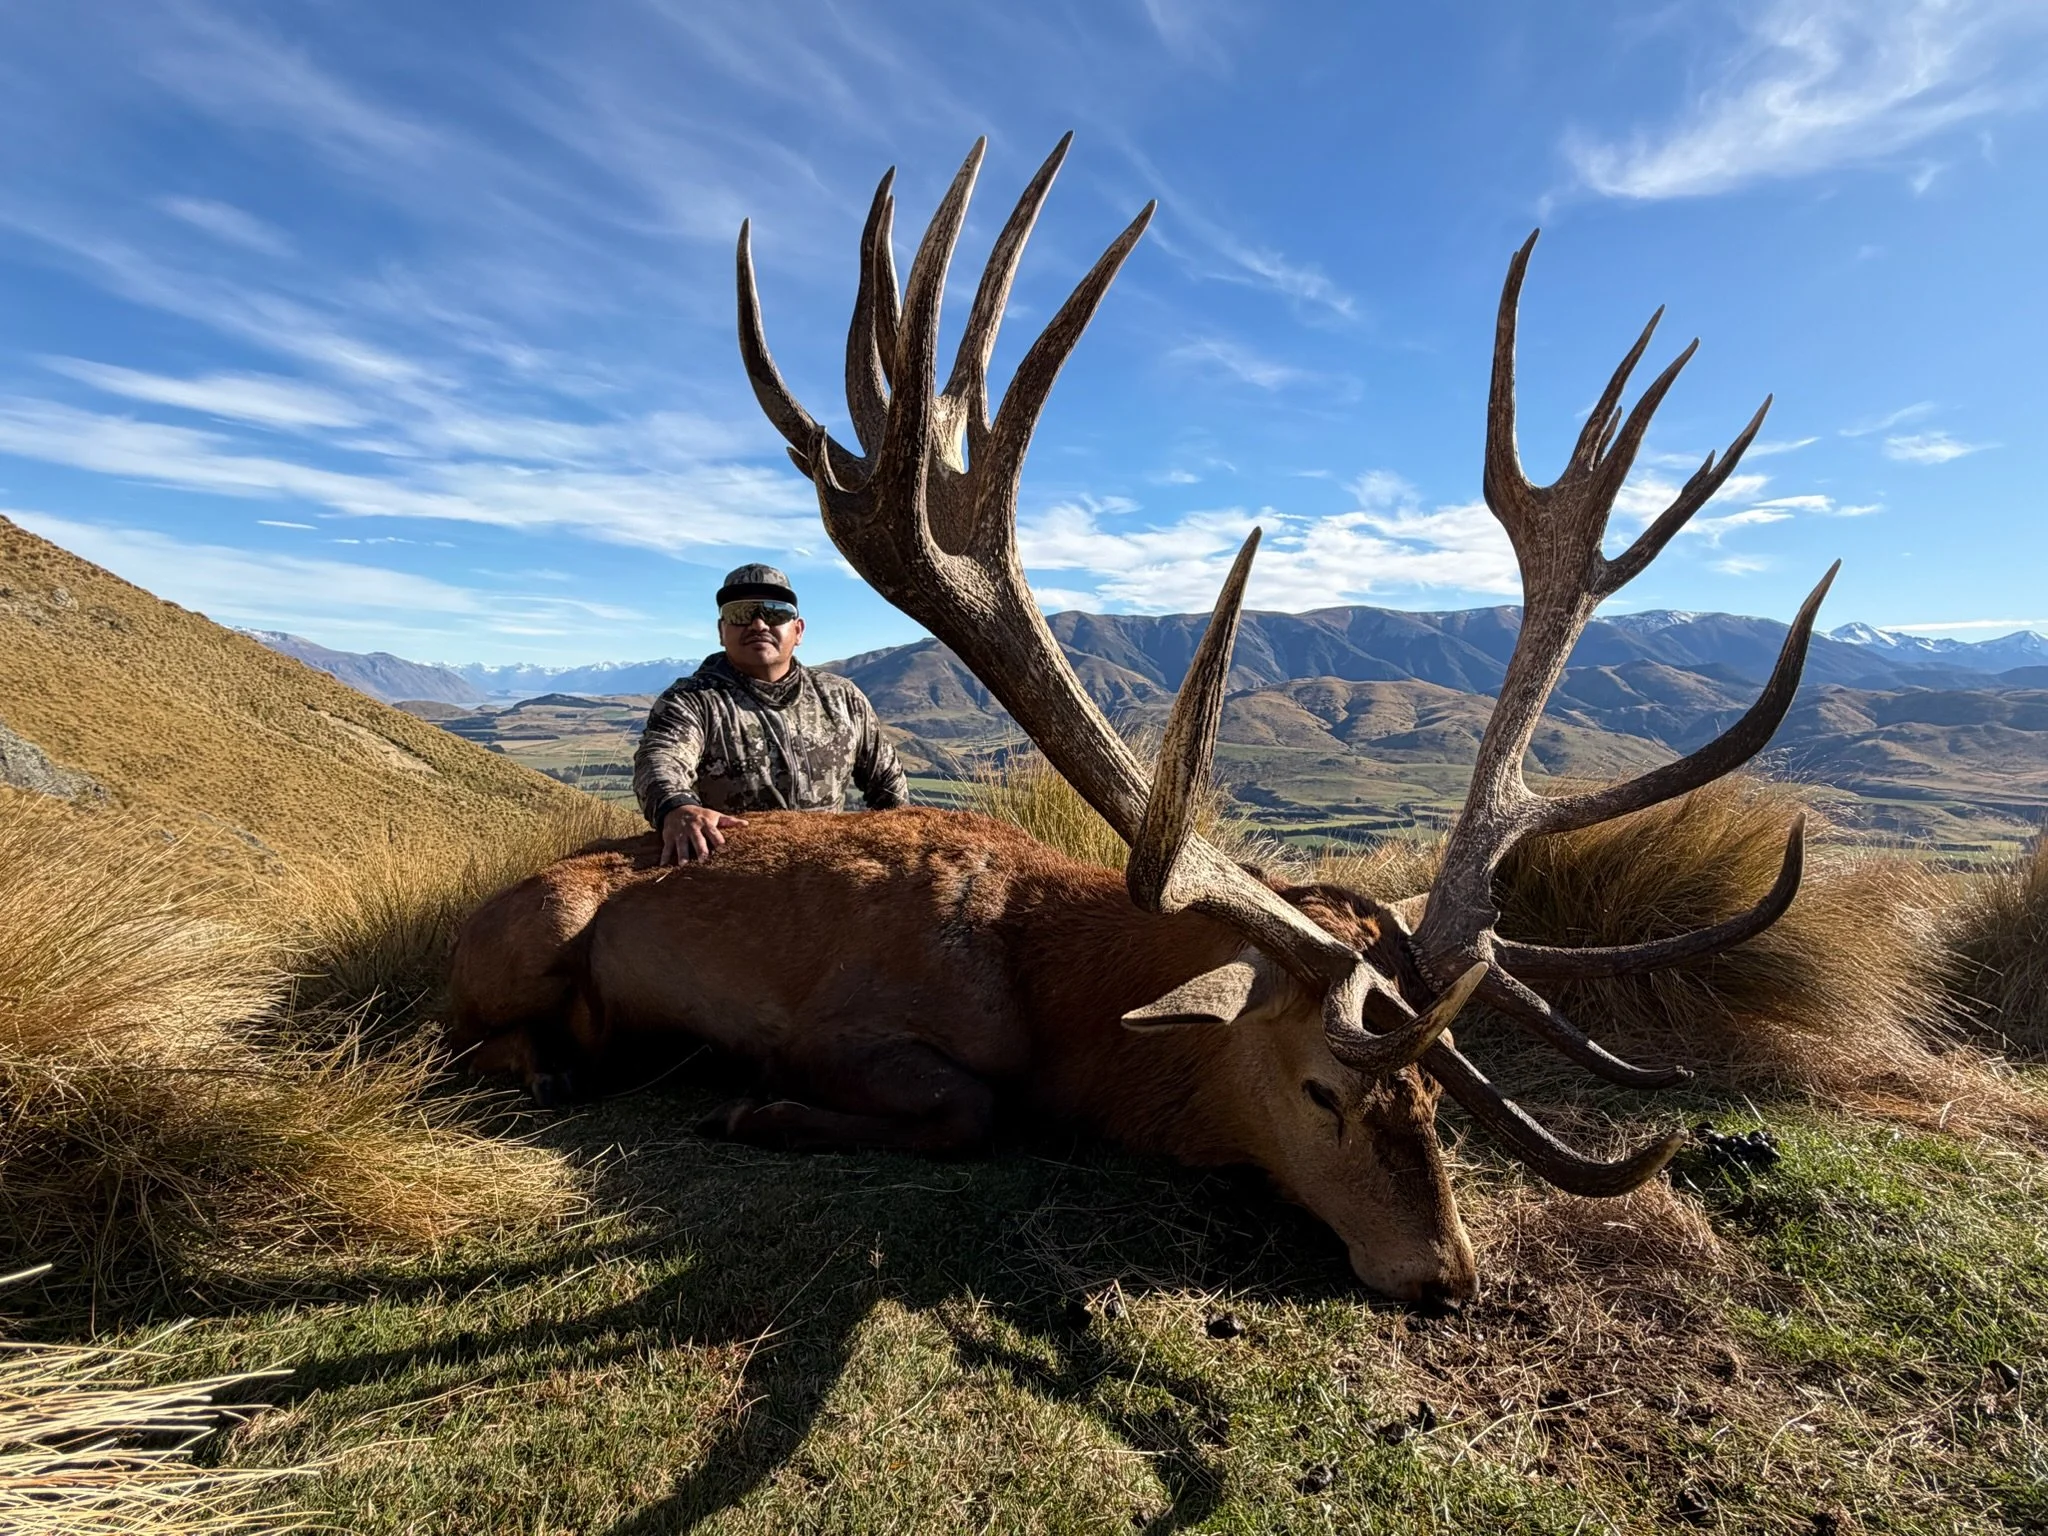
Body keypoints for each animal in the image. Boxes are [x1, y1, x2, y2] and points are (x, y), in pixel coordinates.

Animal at [447, 135, 1832, 1305]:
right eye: (1323, 1091)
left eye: (1437, 1101)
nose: (1445, 1276)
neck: (1056, 997)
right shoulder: (844, 1026)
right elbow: (964, 1111)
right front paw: (750, 1109)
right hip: (532, 933)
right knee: (472, 1035)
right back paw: (563, 1060)